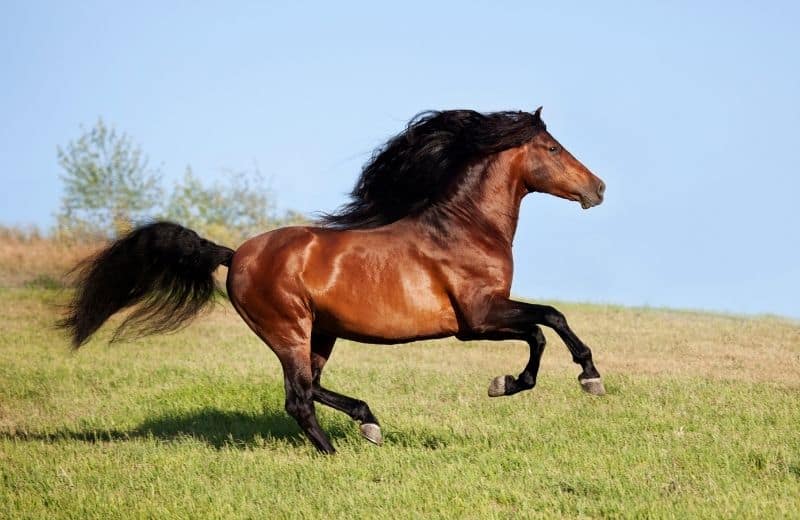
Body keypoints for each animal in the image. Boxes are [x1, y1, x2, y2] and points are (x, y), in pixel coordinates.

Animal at [60, 107, 606, 454]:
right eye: (553, 148)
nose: (598, 188)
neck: (465, 227)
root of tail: (235, 255)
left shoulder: (487, 315)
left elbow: (544, 324)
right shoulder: (477, 318)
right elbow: (546, 324)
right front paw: (560, 380)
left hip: (320, 332)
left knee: (312, 387)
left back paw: (369, 422)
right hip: (289, 329)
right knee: (298, 396)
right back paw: (336, 450)